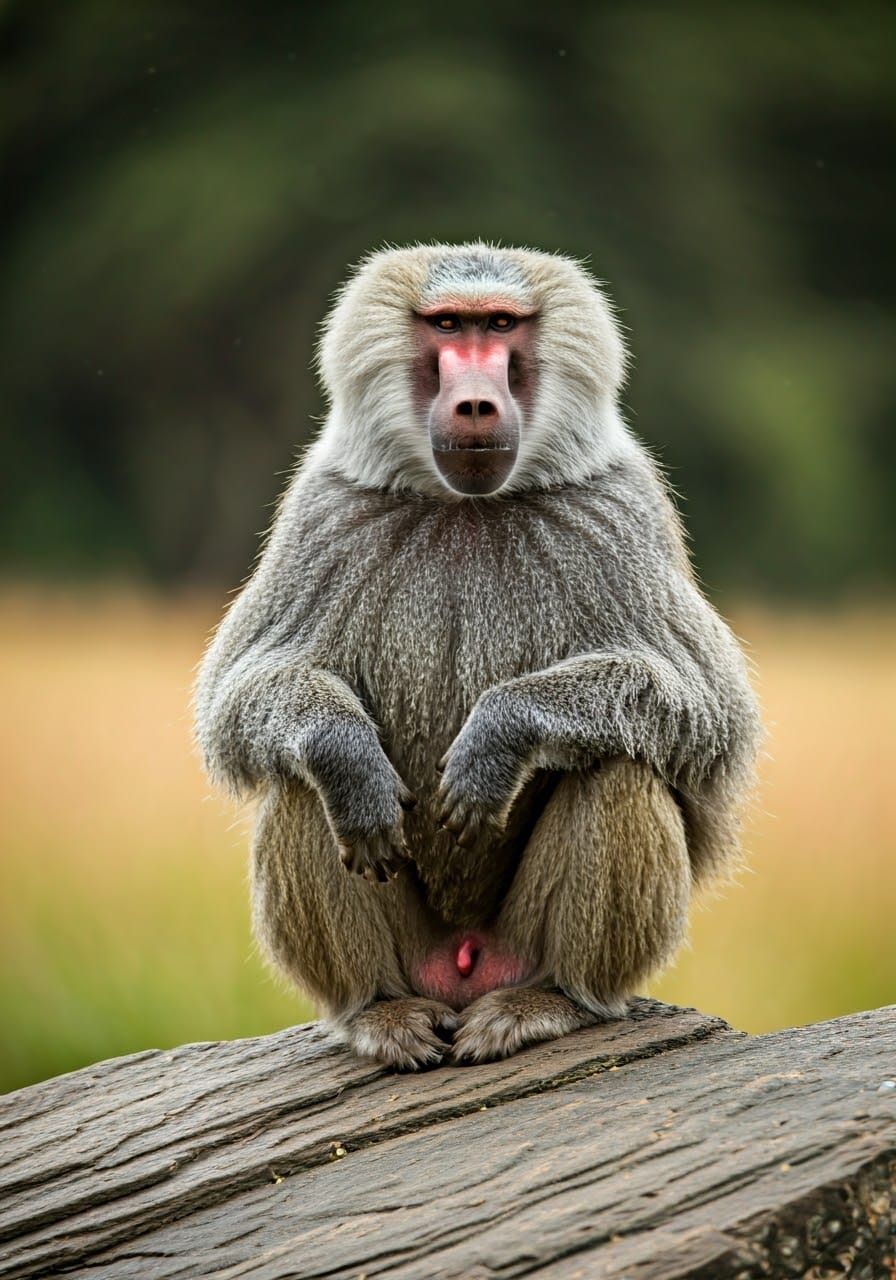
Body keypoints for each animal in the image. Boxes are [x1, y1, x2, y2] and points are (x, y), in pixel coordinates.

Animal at [194, 243, 761, 1068]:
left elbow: (708, 713)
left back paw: (549, 1002)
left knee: (620, 767)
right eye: (446, 326)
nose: (475, 405)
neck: (468, 505)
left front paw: (499, 738)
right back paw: (380, 1012)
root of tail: (462, 976)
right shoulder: (322, 510)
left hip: (515, 948)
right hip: (415, 957)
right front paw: (348, 756)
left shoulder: (619, 511)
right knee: (300, 783)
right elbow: (240, 696)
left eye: (499, 326)